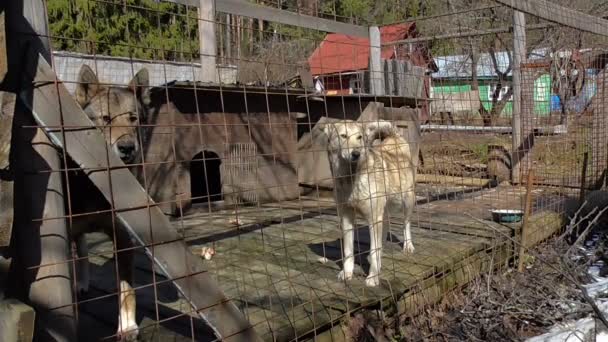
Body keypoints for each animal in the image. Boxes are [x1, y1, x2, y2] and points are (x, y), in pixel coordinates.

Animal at [69, 64, 148, 340]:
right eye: (105, 119)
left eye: (133, 119)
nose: (127, 148)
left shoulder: (124, 238)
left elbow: (127, 291)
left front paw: (127, 326)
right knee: (81, 250)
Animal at [320, 119, 416, 288]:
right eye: (343, 136)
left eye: (359, 137)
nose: (356, 154)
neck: (350, 178)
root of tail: (394, 136)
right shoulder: (346, 217)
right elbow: (349, 251)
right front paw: (347, 273)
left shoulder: (373, 217)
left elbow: (373, 248)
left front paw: (373, 277)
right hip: (383, 211)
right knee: (384, 230)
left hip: (407, 200)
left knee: (406, 224)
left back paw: (408, 246)